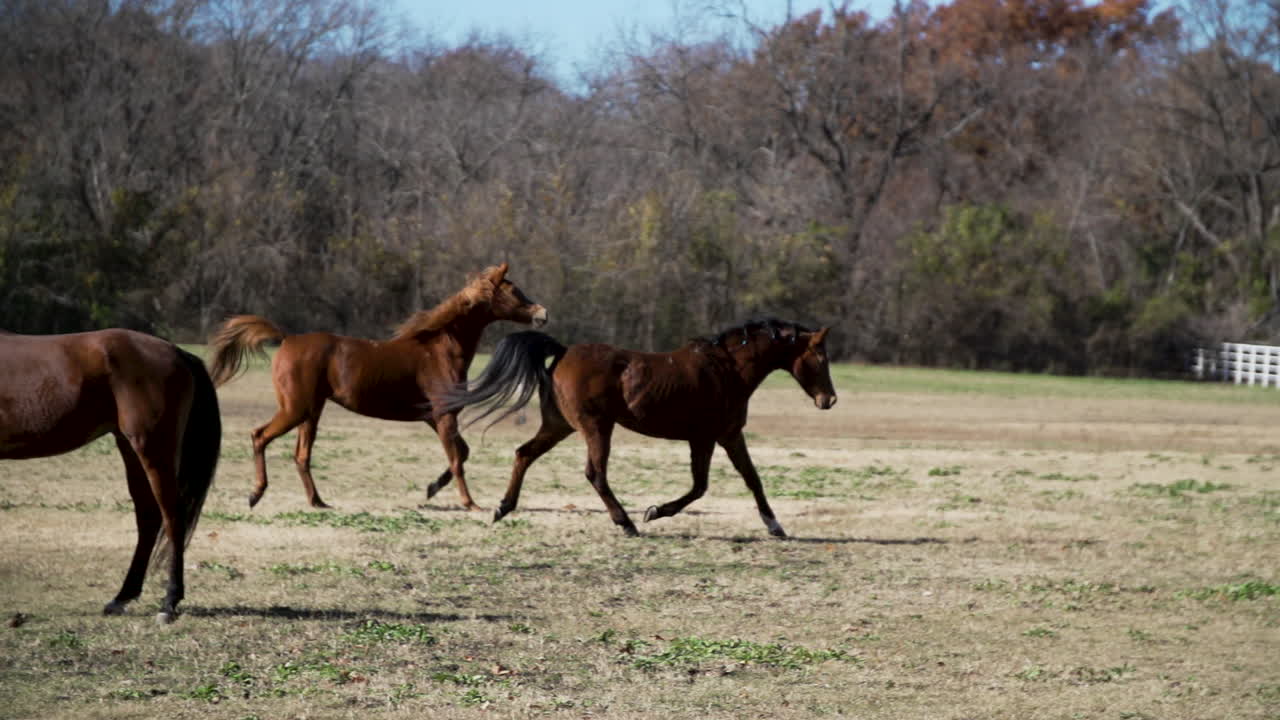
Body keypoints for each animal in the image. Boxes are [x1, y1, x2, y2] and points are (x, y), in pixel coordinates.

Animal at [0, 329, 221, 623]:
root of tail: (177, 352)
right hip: (131, 448)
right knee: (148, 518)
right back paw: (122, 597)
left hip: (152, 449)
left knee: (172, 518)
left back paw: (168, 602)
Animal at [207, 263, 547, 510]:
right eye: (515, 291)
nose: (542, 314)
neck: (439, 349)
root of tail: (286, 338)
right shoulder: (444, 415)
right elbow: (456, 458)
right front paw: (470, 503)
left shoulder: (433, 417)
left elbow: (461, 453)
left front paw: (431, 489)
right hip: (296, 409)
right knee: (260, 436)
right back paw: (256, 494)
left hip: (311, 412)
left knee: (301, 455)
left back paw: (318, 502)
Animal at [445, 318, 837, 538]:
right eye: (820, 357)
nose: (829, 400)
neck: (727, 369)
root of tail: (564, 351)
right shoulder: (705, 438)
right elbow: (700, 487)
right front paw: (654, 512)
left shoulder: (729, 435)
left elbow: (752, 479)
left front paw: (775, 526)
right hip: (596, 427)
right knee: (595, 473)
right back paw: (626, 523)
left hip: (560, 425)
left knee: (524, 453)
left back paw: (502, 508)